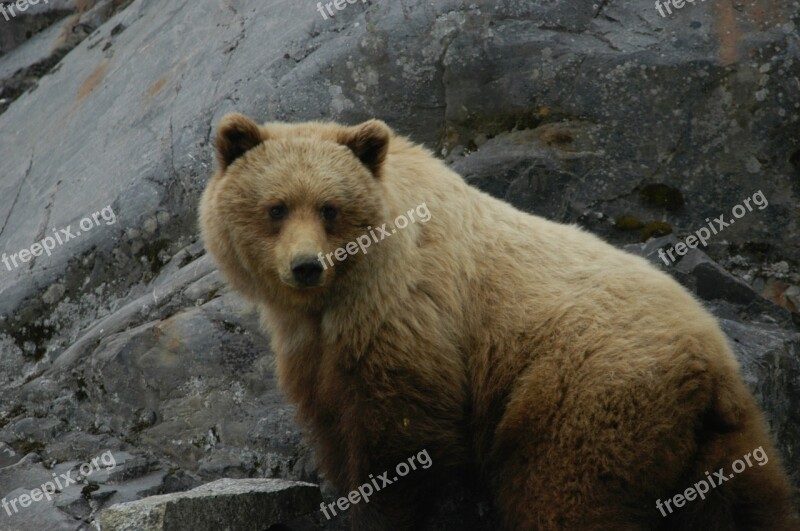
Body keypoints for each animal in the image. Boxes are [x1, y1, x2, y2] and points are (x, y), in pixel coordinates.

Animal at [197, 113, 796, 531]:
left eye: (329, 208)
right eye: (276, 207)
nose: (305, 266)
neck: (338, 294)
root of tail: (709, 363)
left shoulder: (409, 319)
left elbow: (402, 446)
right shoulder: (315, 350)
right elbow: (334, 426)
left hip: (584, 393)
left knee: (566, 496)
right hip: (725, 440)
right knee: (752, 503)